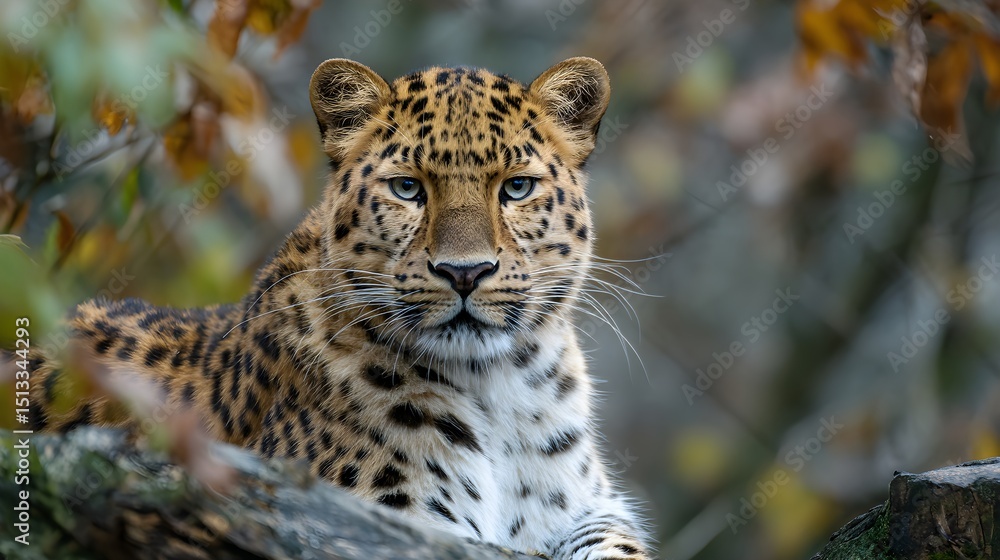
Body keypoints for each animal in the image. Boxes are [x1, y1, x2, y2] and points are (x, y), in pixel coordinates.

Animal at [7, 57, 652, 559]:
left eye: (516, 188)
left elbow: (617, 542)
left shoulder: (589, 509)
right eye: (408, 188)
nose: (464, 272)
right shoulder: (379, 521)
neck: (497, 387)